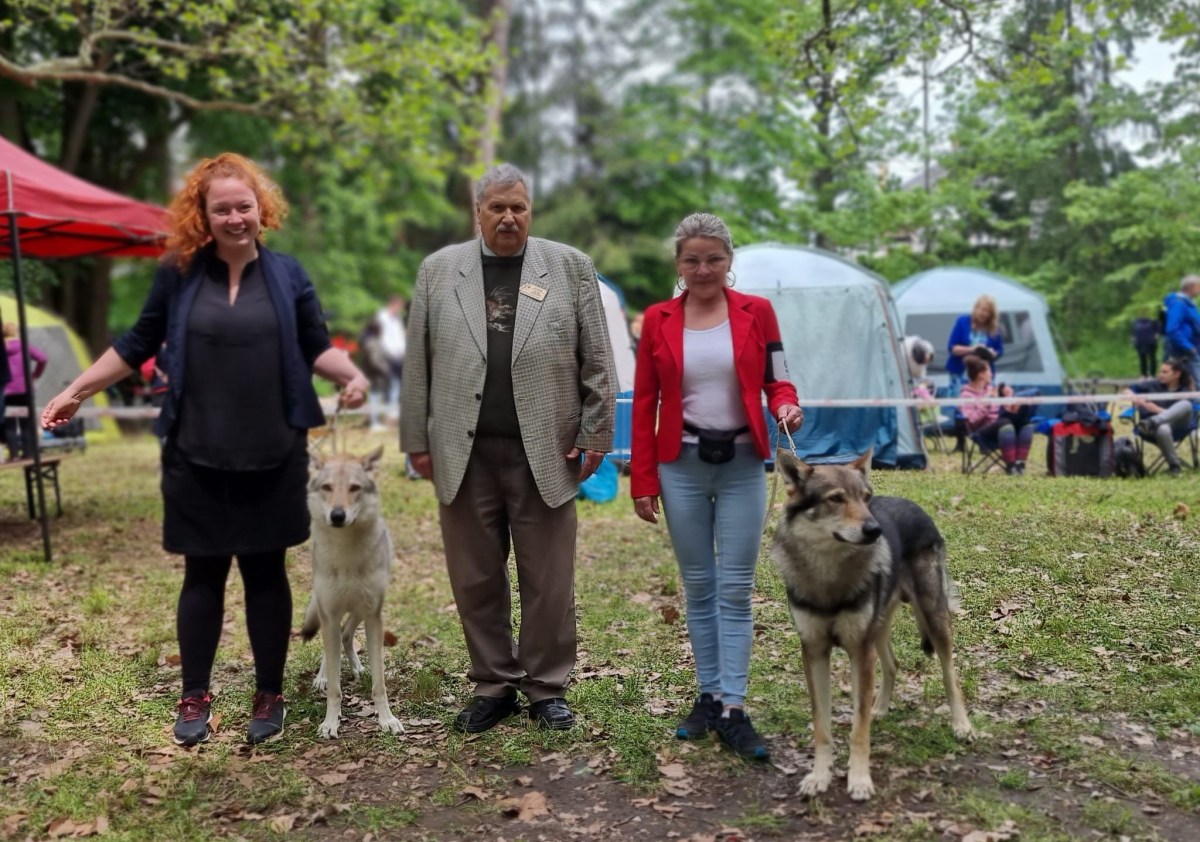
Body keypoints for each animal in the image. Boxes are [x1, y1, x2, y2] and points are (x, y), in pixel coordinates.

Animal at [302, 448, 405, 738]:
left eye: (354, 488)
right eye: (327, 488)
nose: (337, 515)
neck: (346, 555)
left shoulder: (373, 614)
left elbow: (380, 685)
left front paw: (387, 720)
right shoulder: (329, 613)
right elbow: (335, 689)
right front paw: (330, 723)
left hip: (360, 610)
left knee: (346, 635)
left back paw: (358, 667)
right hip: (328, 612)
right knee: (334, 644)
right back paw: (322, 678)